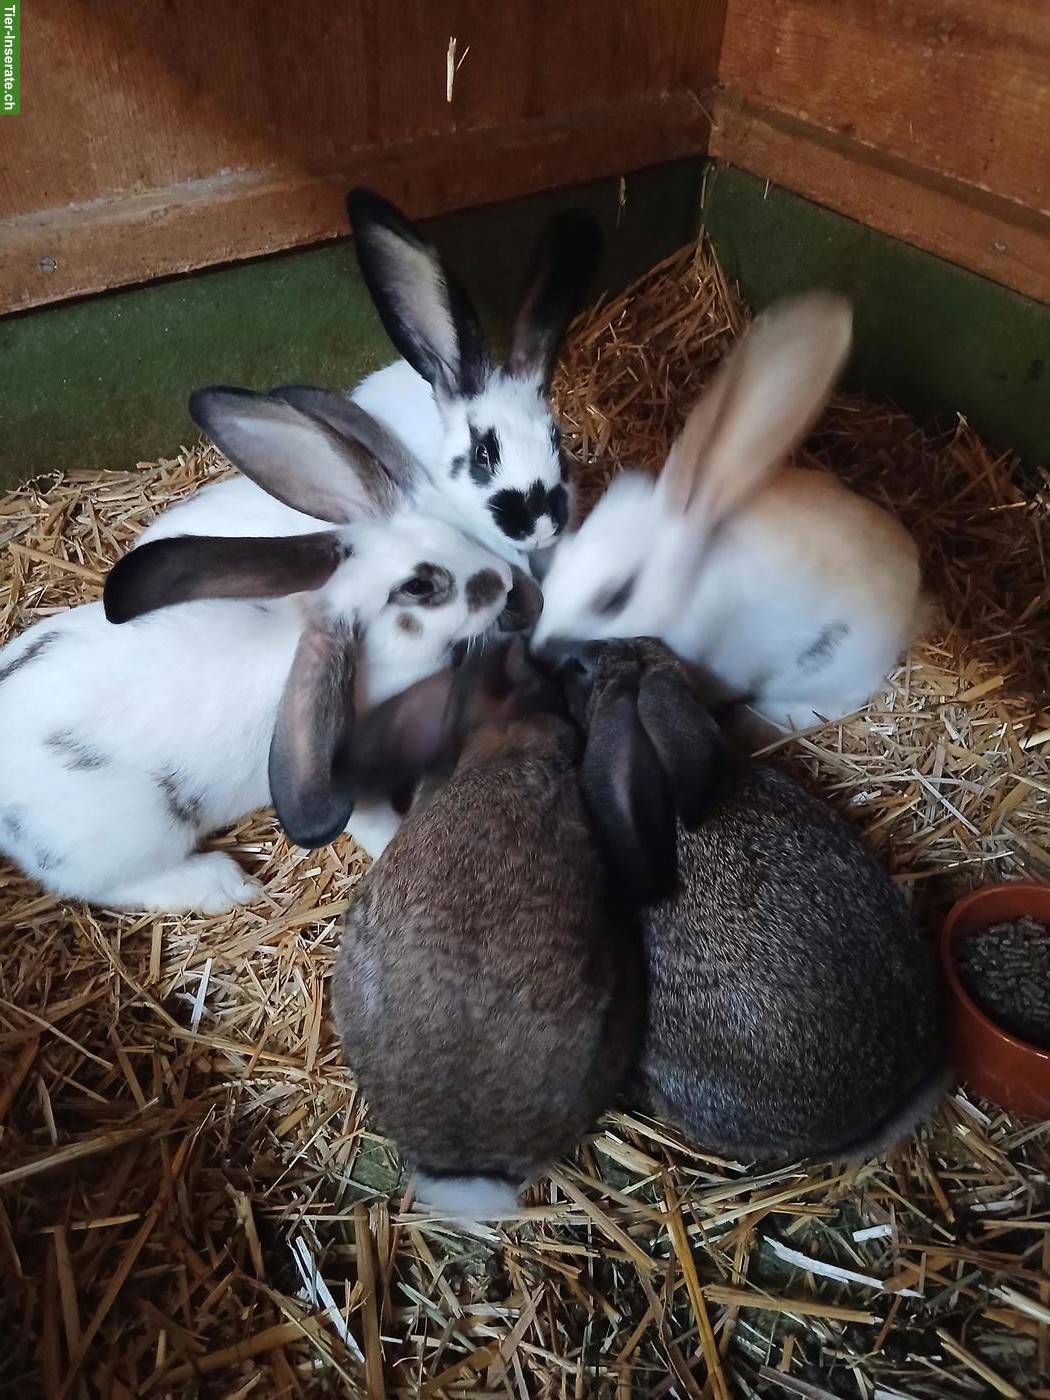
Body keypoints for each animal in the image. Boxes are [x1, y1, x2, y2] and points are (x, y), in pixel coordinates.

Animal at [0, 390, 539, 914]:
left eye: (451, 535)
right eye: (420, 586)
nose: (505, 580)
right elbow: (378, 828)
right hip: (132, 837)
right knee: (105, 886)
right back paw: (223, 885)